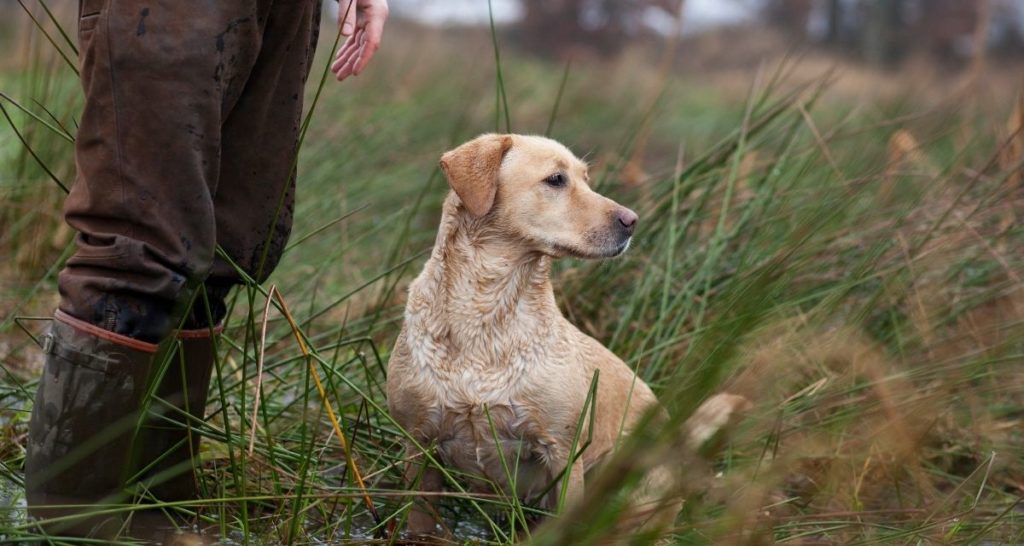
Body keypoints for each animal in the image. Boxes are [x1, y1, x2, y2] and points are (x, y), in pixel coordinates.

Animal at [385, 134, 671, 532]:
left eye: (586, 179)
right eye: (556, 179)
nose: (632, 221)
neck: (486, 310)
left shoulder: (563, 452)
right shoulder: (419, 445)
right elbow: (420, 522)